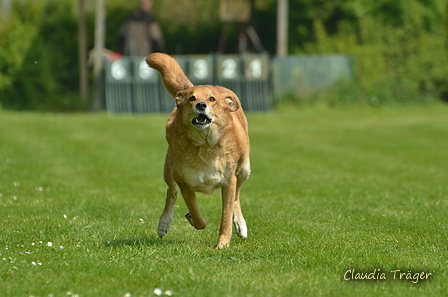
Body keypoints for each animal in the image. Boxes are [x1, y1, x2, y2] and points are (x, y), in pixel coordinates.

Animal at [148, 53, 250, 247]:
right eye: (192, 99)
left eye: (212, 99)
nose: (201, 105)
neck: (205, 146)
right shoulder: (184, 183)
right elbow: (197, 215)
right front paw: (193, 220)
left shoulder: (229, 182)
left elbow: (226, 215)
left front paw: (222, 244)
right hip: (169, 169)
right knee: (171, 191)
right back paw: (164, 223)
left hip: (244, 170)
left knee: (237, 197)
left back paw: (240, 225)